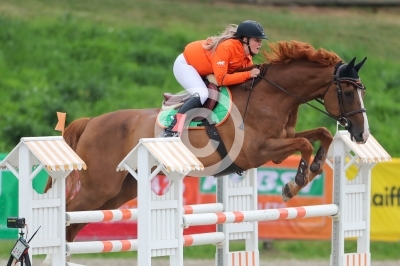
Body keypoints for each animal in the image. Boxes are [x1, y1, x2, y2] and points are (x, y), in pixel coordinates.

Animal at [43, 41, 368, 243]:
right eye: (348, 92)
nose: (362, 134)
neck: (272, 97)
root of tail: (91, 122)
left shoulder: (280, 142)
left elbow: (321, 135)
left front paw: (313, 168)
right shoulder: (256, 152)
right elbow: (304, 145)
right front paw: (295, 182)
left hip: (120, 191)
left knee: (75, 222)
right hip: (100, 186)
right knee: (67, 213)